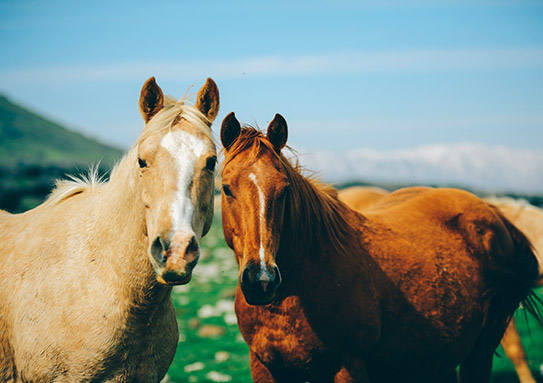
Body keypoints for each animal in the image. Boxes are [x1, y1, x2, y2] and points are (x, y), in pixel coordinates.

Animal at [219, 113, 540, 383]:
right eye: (225, 188)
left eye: (285, 190)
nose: (262, 281)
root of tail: (492, 212)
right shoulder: (265, 367)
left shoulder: (348, 368)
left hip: (483, 345)